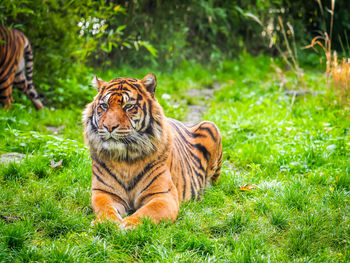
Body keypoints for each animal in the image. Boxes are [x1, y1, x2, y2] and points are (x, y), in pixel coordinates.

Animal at [82, 73, 221, 229]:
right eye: (104, 106)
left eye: (128, 106)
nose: (109, 126)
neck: (124, 158)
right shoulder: (104, 193)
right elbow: (105, 208)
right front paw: (105, 222)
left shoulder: (163, 196)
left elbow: (146, 213)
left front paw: (126, 225)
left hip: (211, 126)